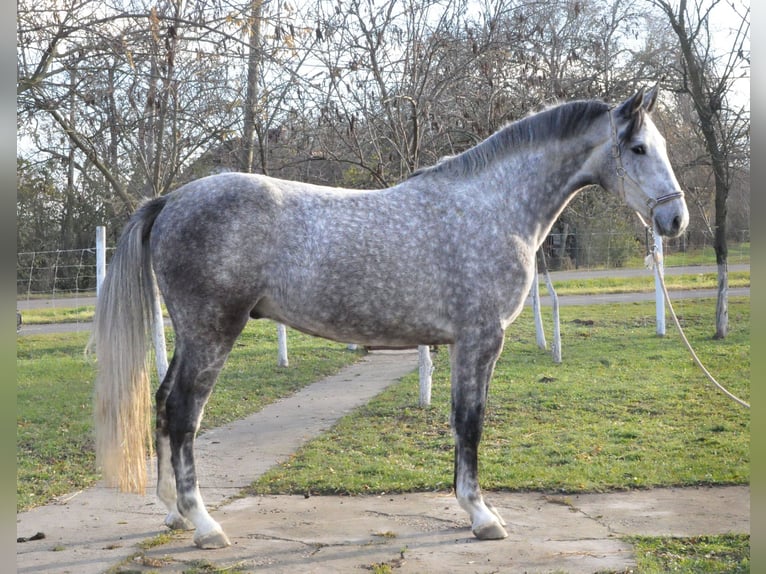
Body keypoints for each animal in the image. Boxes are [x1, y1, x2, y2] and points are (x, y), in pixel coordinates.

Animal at [91, 88, 688, 552]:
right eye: (637, 148)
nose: (675, 218)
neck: (492, 209)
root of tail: (170, 200)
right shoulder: (479, 340)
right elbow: (470, 422)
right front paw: (481, 516)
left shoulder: (461, 343)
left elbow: (461, 423)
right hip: (212, 331)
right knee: (183, 412)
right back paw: (205, 525)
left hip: (193, 335)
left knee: (164, 405)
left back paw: (173, 513)